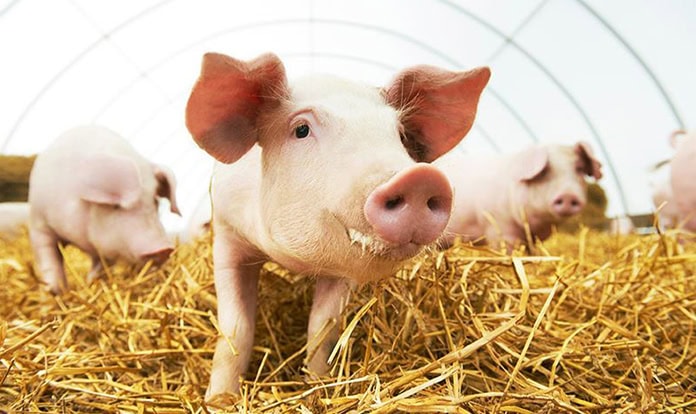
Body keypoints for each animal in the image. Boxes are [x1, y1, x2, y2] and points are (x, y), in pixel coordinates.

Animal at [28, 125, 181, 293]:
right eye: (116, 206)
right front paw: (54, 291)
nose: (164, 249)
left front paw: (91, 283)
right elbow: (49, 259)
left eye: (154, 201)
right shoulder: (39, 224)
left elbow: (101, 265)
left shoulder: (106, 248)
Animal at [184, 52, 490, 401]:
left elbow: (323, 327)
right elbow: (235, 328)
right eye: (301, 129)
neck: (295, 261)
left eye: (400, 135)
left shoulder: (343, 270)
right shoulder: (227, 236)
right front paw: (219, 400)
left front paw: (317, 388)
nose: (419, 179)